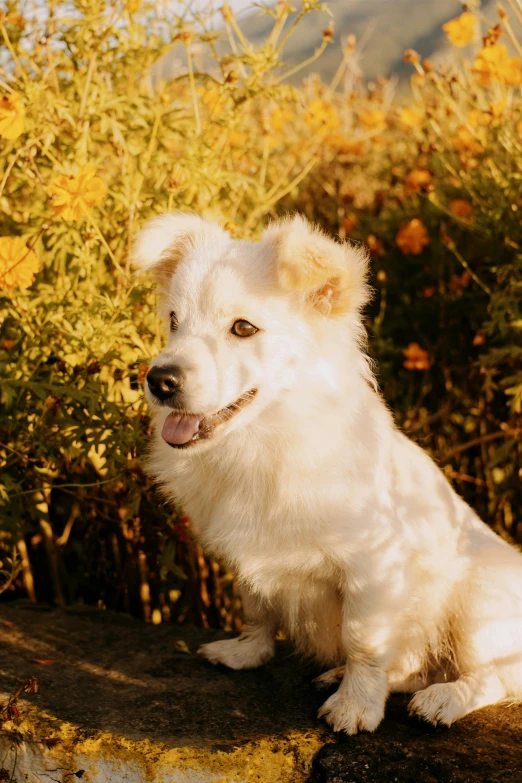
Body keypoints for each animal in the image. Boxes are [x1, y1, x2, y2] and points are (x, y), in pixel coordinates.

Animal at [134, 211, 520, 732]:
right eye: (174, 322)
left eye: (243, 328)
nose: (159, 379)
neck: (265, 442)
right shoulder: (248, 554)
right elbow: (256, 608)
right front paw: (245, 654)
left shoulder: (373, 570)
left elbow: (363, 641)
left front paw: (355, 706)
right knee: (418, 666)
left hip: (478, 603)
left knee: (493, 677)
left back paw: (443, 700)